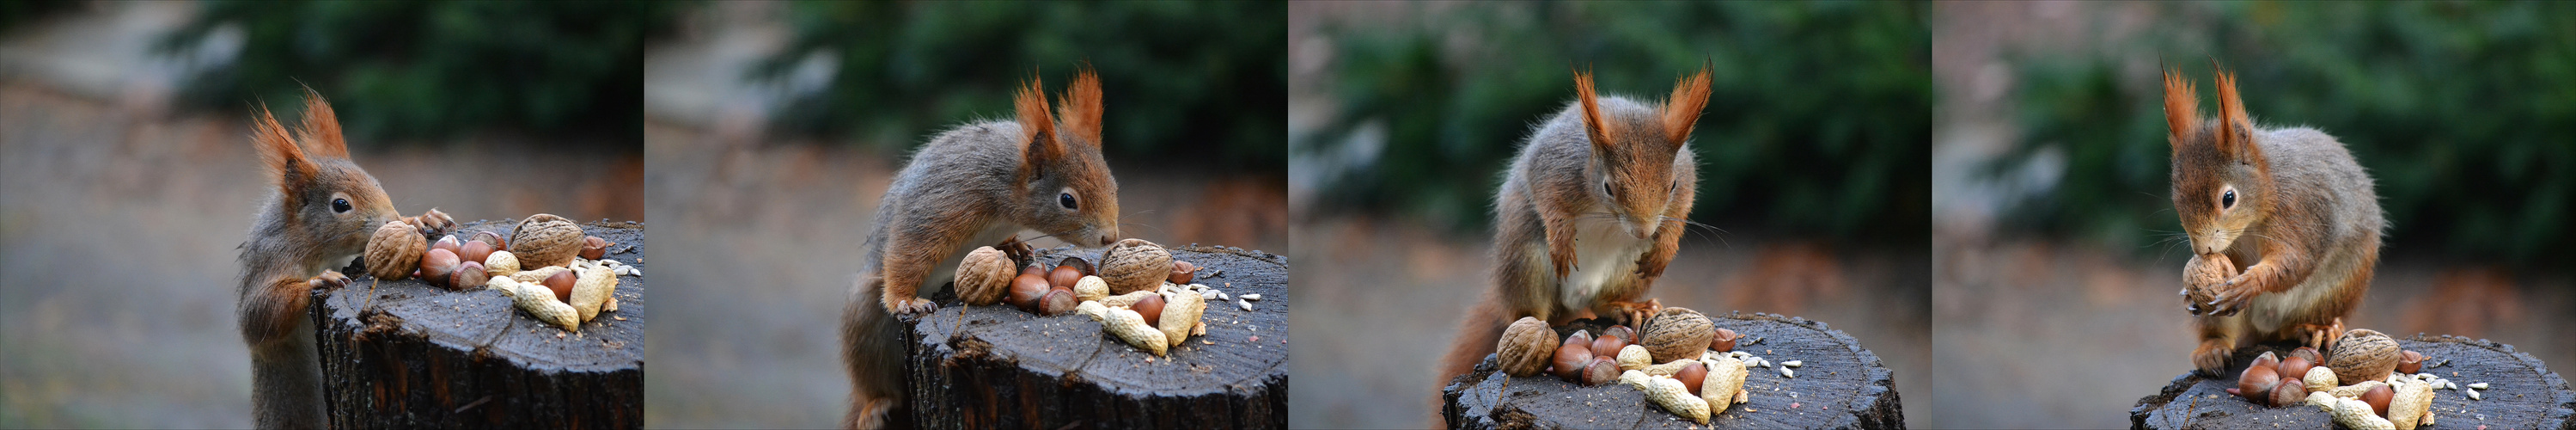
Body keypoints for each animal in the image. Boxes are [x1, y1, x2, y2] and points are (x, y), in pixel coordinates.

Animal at [234, 89, 450, 427]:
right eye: (340, 204)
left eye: (377, 183)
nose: (392, 220)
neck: (312, 244)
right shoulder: (270, 257)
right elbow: (258, 317)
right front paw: (318, 281)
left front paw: (420, 219)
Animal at [845, 67, 1128, 429]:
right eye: (1068, 200)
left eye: (1113, 185)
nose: (1110, 237)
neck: (1007, 187)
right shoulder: (948, 201)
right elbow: (909, 248)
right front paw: (907, 300)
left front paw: (1015, 245)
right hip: (867, 320)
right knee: (874, 378)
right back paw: (876, 404)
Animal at [1431, 65, 1710, 391]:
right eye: (1608, 187)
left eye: (1672, 185)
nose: (1643, 231)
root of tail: (1574, 301)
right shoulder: (1554, 167)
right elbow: (1549, 203)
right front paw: (1562, 238)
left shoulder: (1687, 176)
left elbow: (1681, 210)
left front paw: (1665, 247)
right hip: (1524, 255)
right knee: (1529, 310)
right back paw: (1533, 329)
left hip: (1627, 268)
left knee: (1601, 302)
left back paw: (1627, 307)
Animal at [2164, 64, 2380, 376]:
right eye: (2176, 198)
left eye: (2228, 198)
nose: (2202, 249)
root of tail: (2264, 328)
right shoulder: (2231, 248)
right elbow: (2230, 264)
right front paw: (2190, 293)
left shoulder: (2299, 211)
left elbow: (2295, 259)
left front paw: (2249, 282)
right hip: (2225, 318)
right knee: (2220, 328)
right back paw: (2212, 349)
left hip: (2337, 288)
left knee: (2296, 325)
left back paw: (2319, 329)